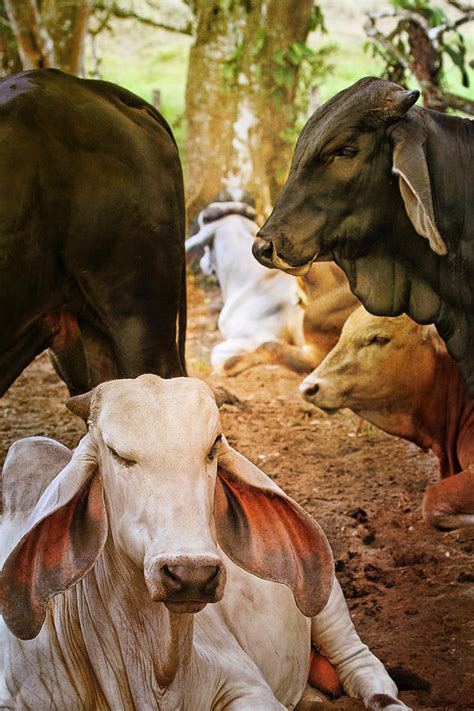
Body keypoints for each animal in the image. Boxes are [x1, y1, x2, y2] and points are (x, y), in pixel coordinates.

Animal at [0, 376, 408, 708]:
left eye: (212, 447)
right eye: (117, 454)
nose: (190, 573)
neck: (158, 676)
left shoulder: (245, 685)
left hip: (326, 597)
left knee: (361, 663)